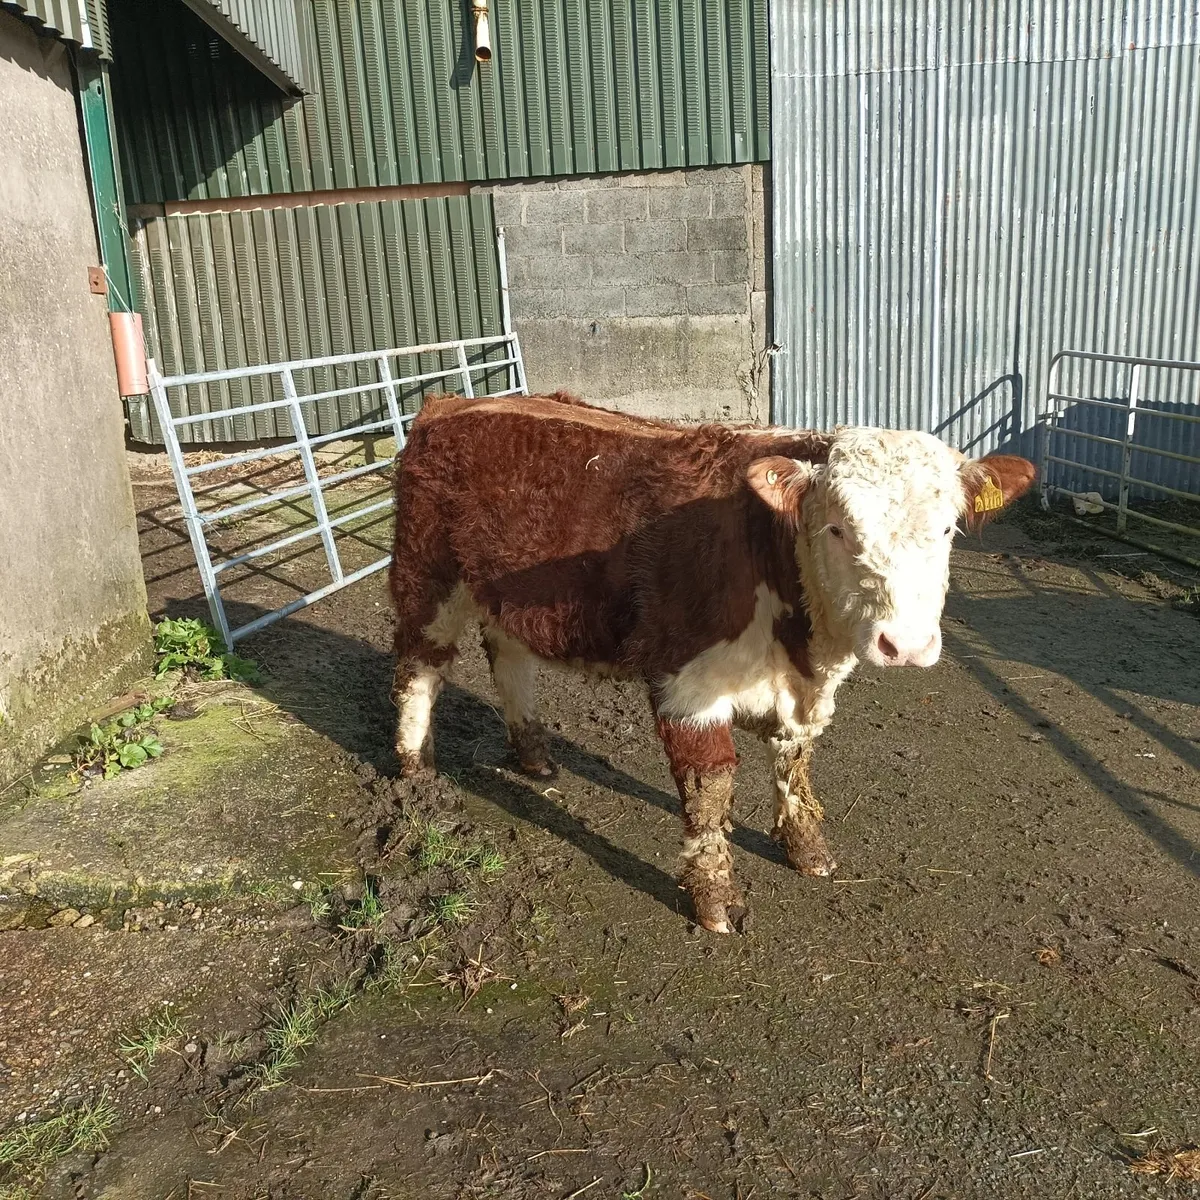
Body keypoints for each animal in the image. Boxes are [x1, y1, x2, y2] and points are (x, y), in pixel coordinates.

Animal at [389, 392, 1036, 933]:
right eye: (837, 529)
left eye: (948, 529)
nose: (905, 644)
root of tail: (451, 403)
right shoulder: (687, 685)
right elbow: (710, 790)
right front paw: (717, 901)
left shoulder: (802, 694)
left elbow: (794, 761)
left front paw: (807, 850)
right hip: (427, 578)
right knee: (420, 667)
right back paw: (416, 771)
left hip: (506, 595)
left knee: (509, 660)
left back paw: (534, 755)